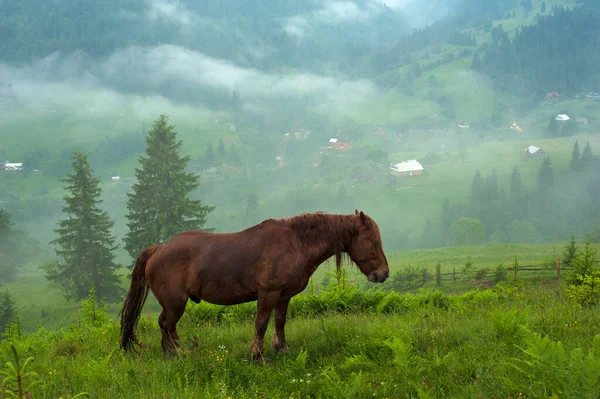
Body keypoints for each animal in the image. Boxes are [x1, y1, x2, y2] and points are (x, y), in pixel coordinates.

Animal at [118, 211, 390, 364]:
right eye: (371, 240)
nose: (383, 273)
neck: (295, 242)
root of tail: (158, 249)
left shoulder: (283, 296)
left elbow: (280, 322)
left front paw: (282, 349)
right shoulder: (268, 293)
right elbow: (261, 324)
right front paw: (258, 356)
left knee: (166, 325)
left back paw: (174, 353)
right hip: (175, 303)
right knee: (167, 324)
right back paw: (176, 354)